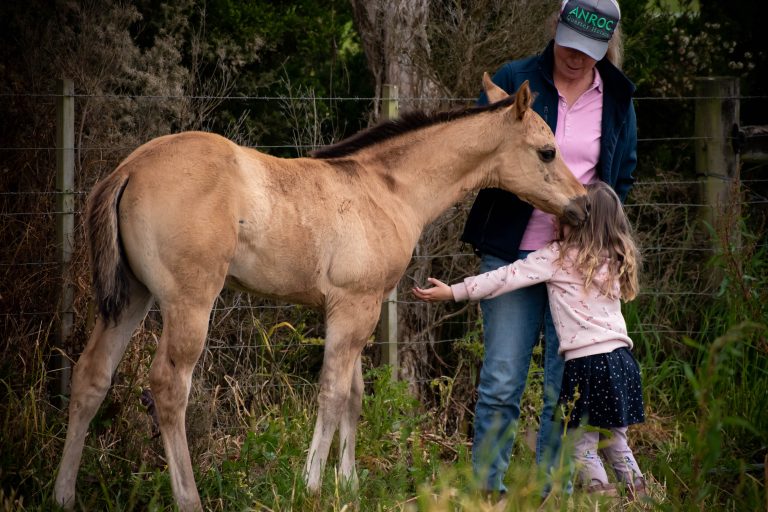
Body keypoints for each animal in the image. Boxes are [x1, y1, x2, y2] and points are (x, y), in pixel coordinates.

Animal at [54, 75, 588, 511]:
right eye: (547, 151)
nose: (582, 206)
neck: (387, 190)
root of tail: (129, 168)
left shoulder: (357, 309)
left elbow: (353, 394)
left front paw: (347, 484)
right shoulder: (355, 306)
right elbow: (332, 392)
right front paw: (311, 485)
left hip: (132, 297)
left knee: (91, 377)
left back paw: (63, 494)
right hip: (189, 303)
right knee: (168, 386)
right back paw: (190, 499)